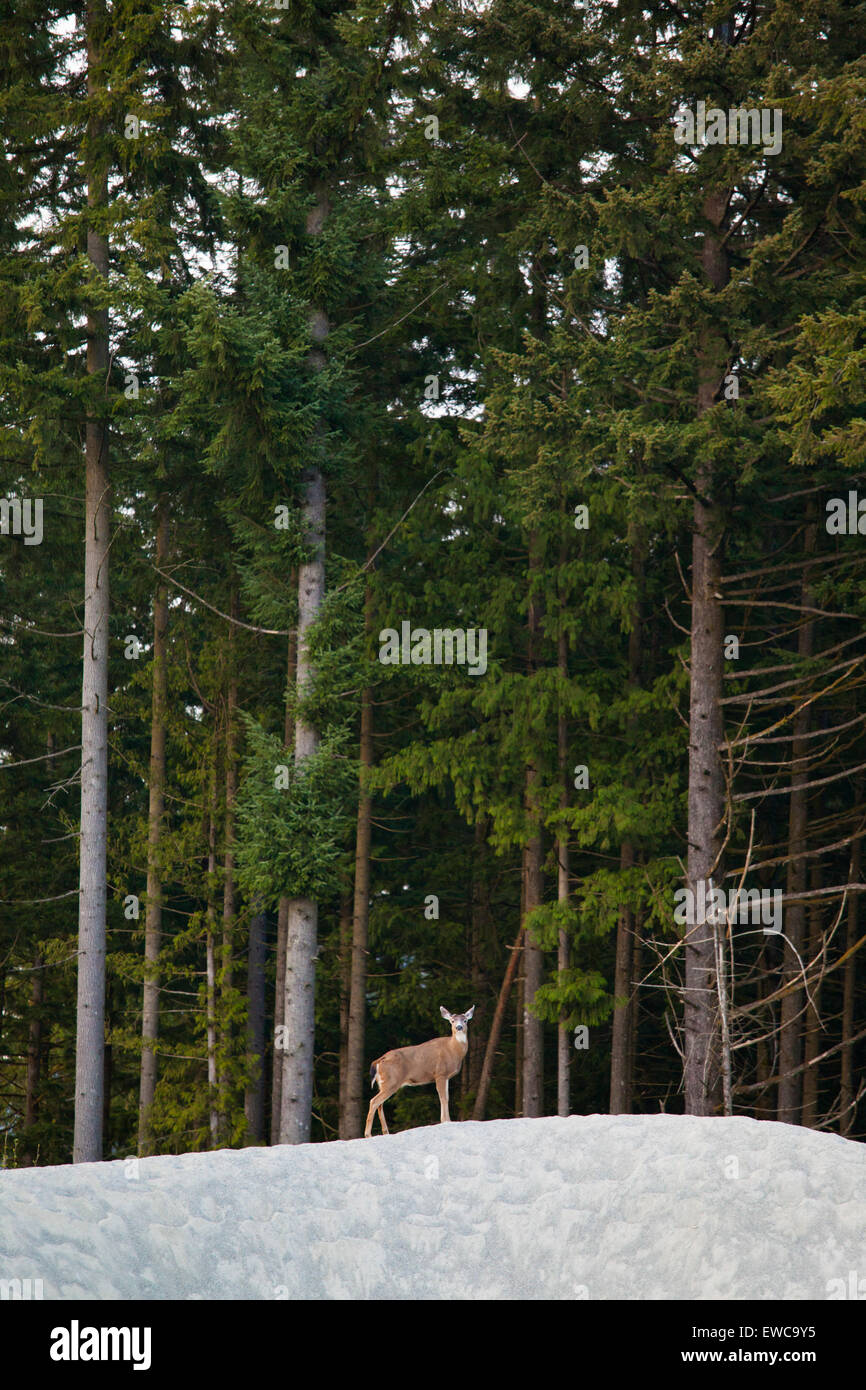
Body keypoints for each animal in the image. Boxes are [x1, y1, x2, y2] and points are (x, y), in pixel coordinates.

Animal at [364, 1006, 478, 1134]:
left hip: (383, 1083)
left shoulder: (446, 1077)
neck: (453, 1049)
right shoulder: (440, 1073)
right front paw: (445, 1120)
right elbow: (443, 1097)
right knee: (374, 1101)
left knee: (380, 1104)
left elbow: (447, 1097)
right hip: (392, 1081)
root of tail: (378, 1061)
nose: (459, 1027)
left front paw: (447, 1120)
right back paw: (368, 1134)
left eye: (465, 1020)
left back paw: (385, 1132)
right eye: (452, 1021)